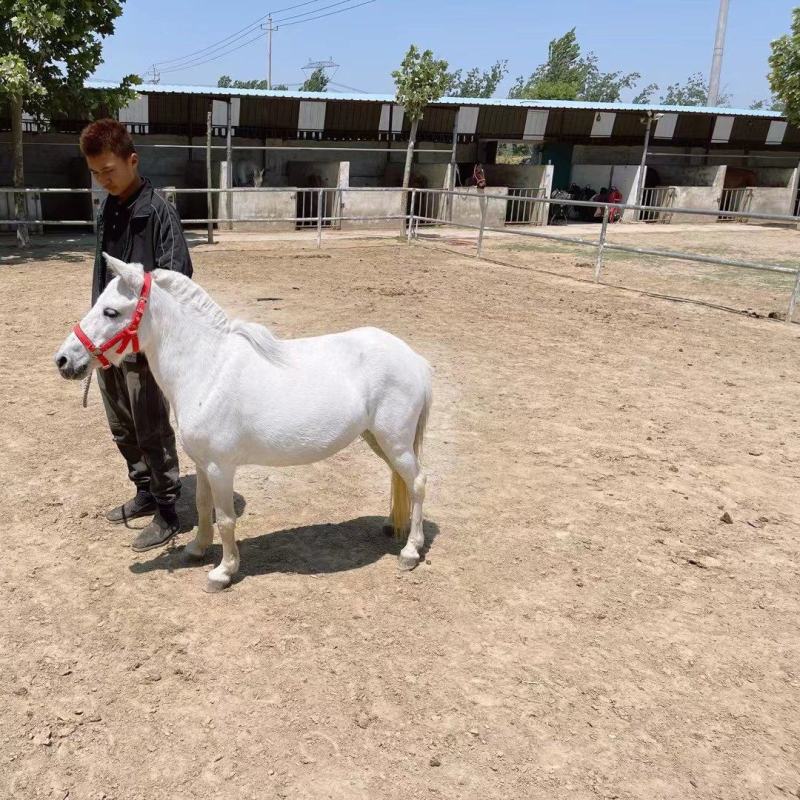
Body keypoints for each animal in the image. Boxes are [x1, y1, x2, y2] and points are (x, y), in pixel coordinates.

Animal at [54, 255, 433, 592]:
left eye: (111, 311)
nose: (63, 360)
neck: (207, 368)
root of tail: (415, 359)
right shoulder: (203, 464)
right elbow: (202, 506)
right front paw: (196, 549)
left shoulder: (221, 468)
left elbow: (225, 519)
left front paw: (222, 572)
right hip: (377, 439)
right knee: (402, 479)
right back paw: (391, 525)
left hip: (394, 441)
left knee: (417, 483)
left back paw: (410, 551)